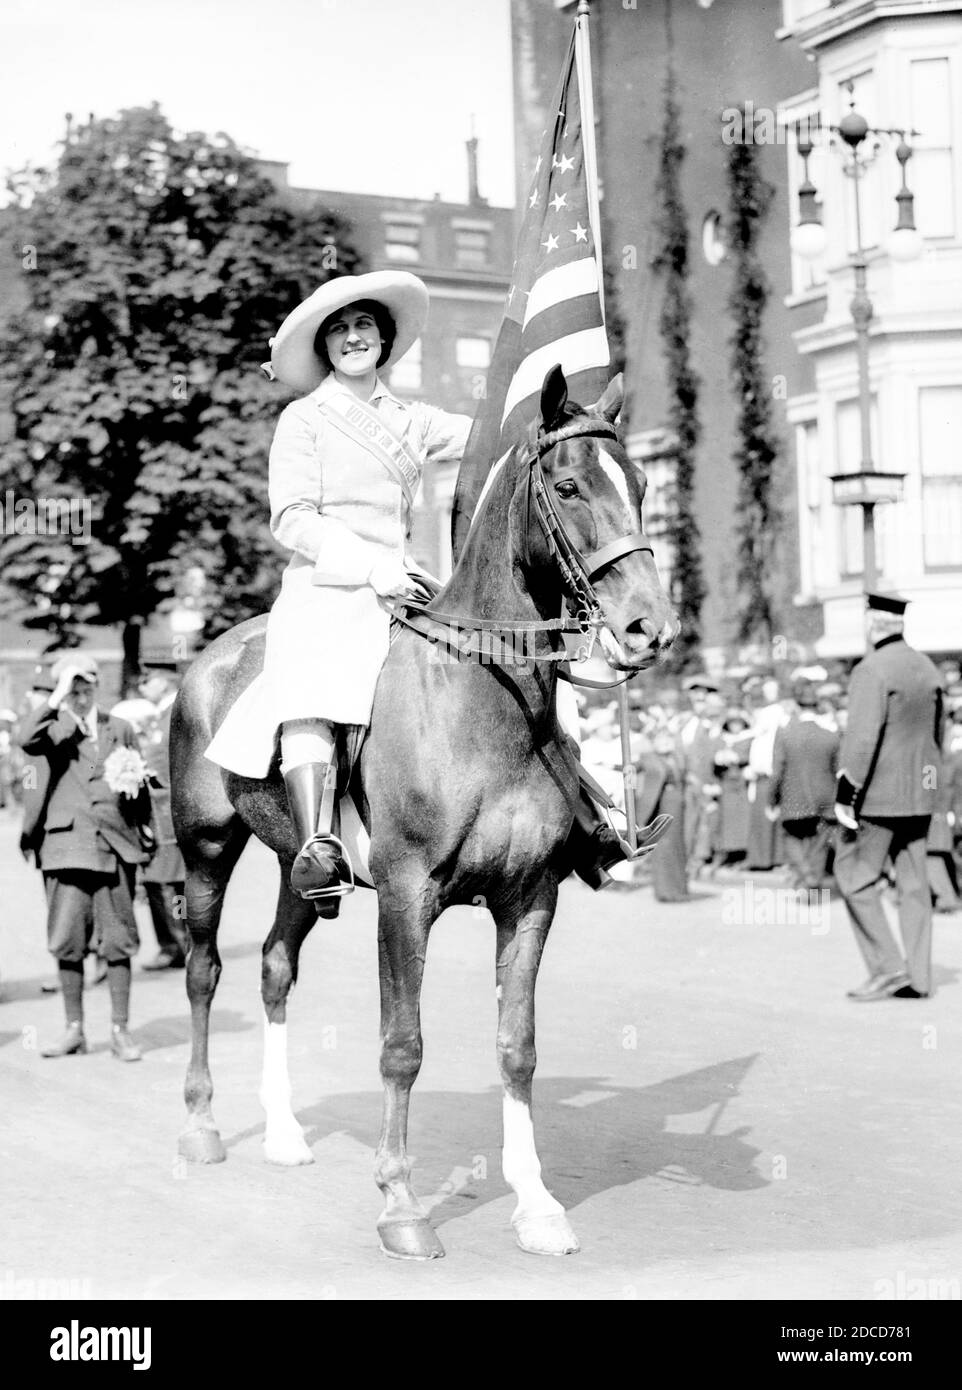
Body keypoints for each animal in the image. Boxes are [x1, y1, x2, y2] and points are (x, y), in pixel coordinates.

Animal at [167, 369, 675, 1262]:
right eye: (569, 486)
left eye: (643, 485)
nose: (650, 627)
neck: (484, 700)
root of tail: (208, 659)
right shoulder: (407, 898)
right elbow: (402, 1047)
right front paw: (400, 1204)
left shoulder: (529, 900)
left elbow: (517, 1047)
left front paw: (536, 1205)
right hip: (206, 850)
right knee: (203, 971)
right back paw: (202, 1124)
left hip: (301, 871)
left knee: (273, 965)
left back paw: (283, 1132)